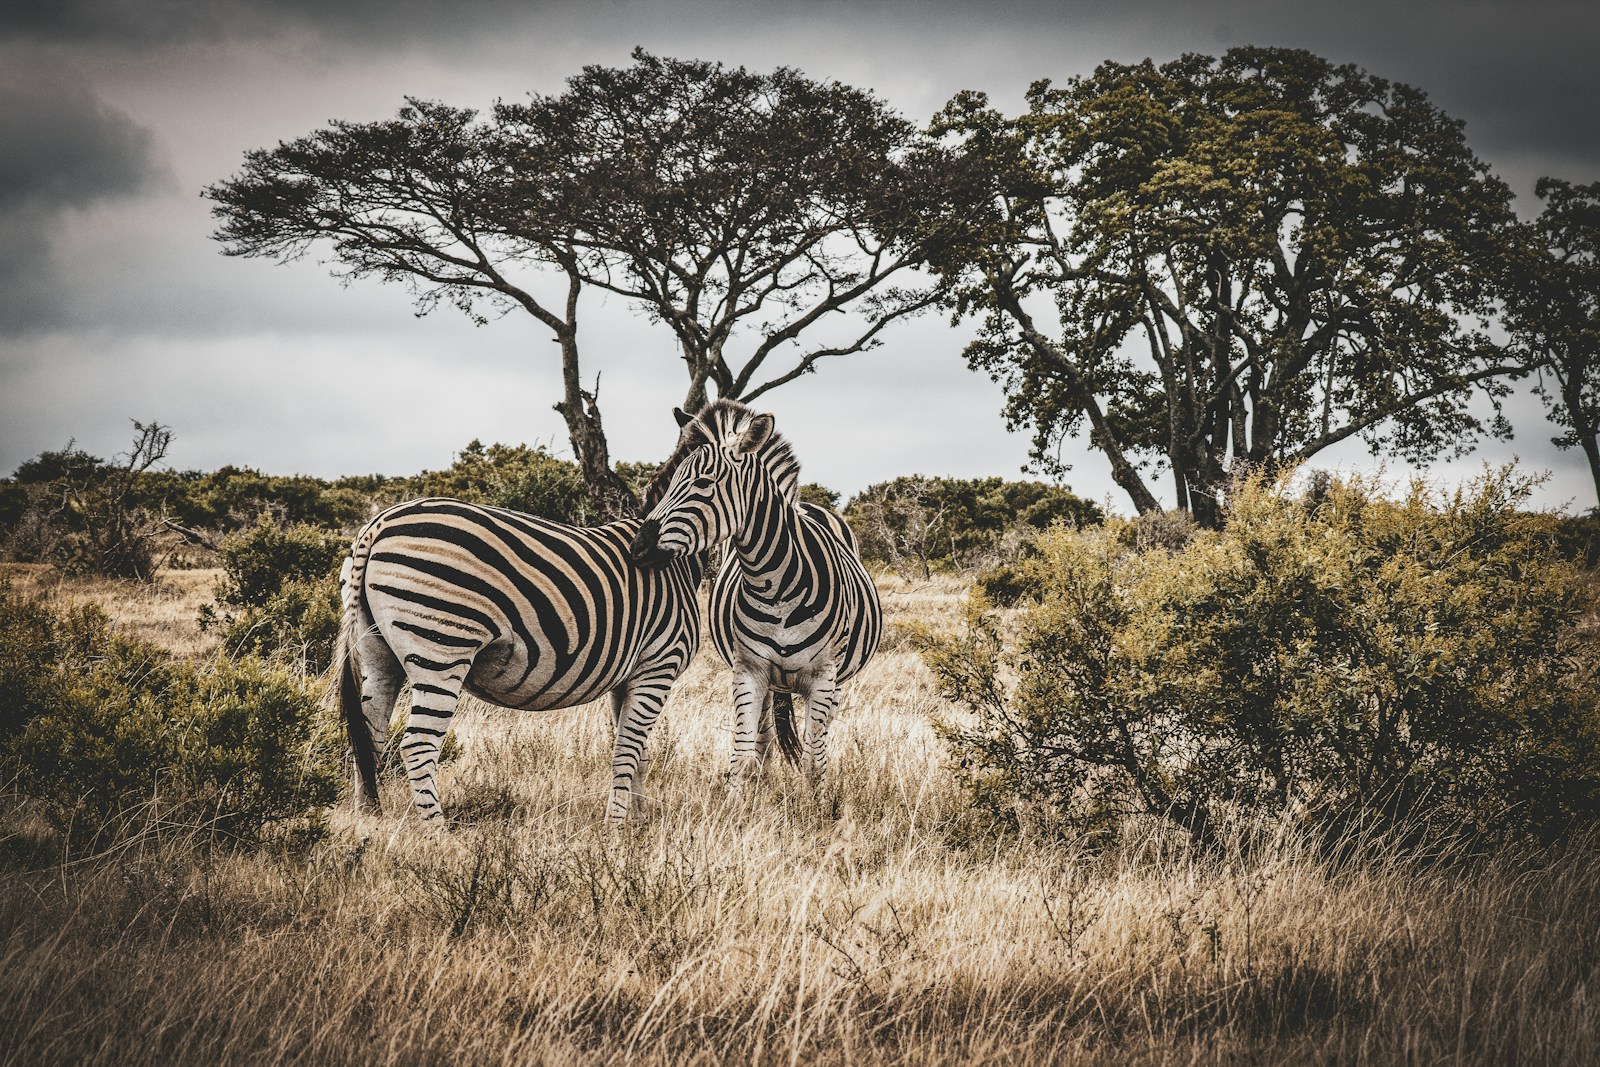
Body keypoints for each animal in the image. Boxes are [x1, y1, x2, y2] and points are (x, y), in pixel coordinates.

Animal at [333, 496, 703, 824]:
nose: (644, 552)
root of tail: (377, 526)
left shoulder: (626, 677)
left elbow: (635, 750)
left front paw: (638, 819)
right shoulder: (658, 666)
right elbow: (630, 748)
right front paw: (624, 825)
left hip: (377, 654)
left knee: (368, 737)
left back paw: (370, 818)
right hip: (441, 647)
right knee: (417, 746)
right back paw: (438, 832)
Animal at [631, 399, 883, 791]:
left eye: (703, 483)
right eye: (670, 482)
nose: (637, 547)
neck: (776, 583)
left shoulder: (823, 679)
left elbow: (813, 763)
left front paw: (816, 805)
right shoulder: (749, 670)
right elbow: (741, 754)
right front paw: (739, 800)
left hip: (836, 681)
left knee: (817, 740)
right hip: (768, 681)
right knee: (763, 736)